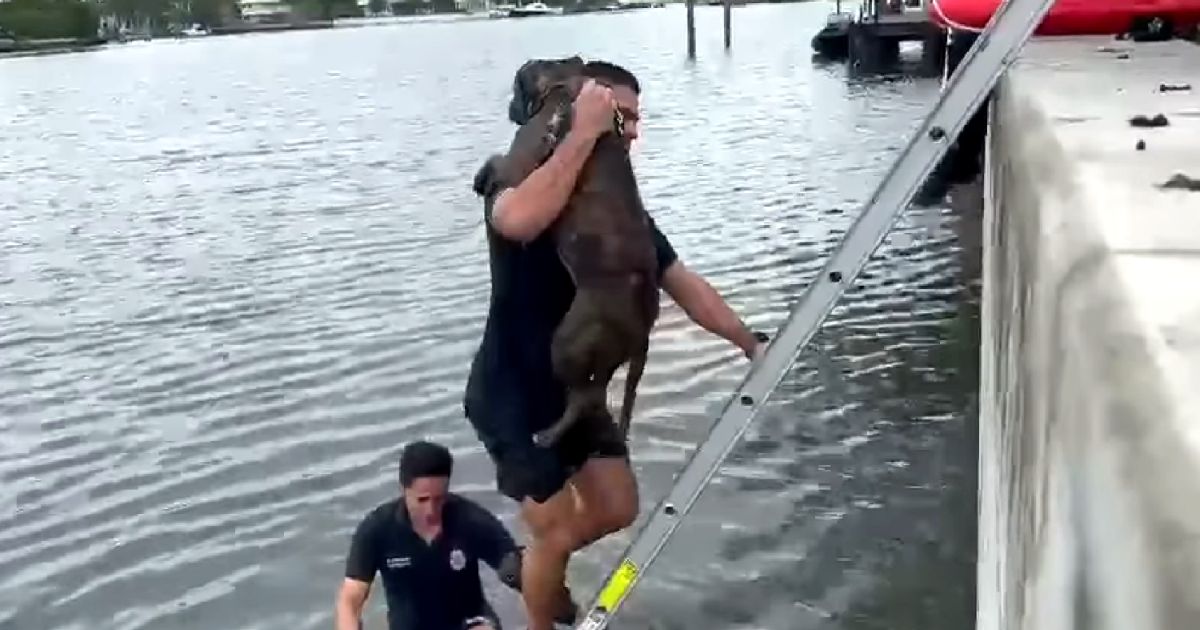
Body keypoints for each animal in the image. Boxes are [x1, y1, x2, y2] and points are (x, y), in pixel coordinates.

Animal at [470, 55, 662, 446]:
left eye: (516, 87)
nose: (509, 107)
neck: (563, 83)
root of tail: (643, 331)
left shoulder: (521, 161)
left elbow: (498, 159)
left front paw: (481, 177)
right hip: (598, 356)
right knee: (593, 393)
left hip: (566, 343)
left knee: (584, 396)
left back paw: (548, 434)